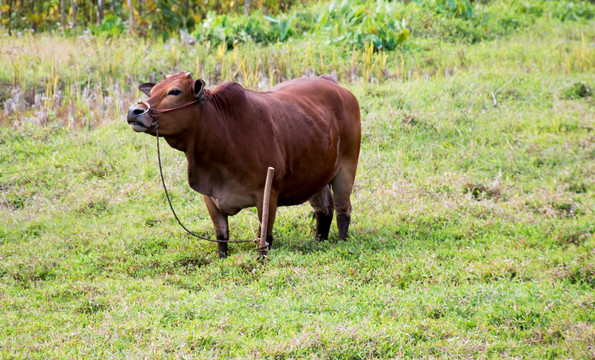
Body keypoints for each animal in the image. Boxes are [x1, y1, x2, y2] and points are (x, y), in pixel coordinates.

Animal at [127, 72, 360, 258]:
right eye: (152, 91)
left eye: (174, 91)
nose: (134, 111)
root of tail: (334, 84)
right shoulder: (209, 195)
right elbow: (221, 234)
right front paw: (222, 257)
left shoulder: (268, 192)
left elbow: (264, 236)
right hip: (315, 176)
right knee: (324, 209)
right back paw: (319, 241)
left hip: (347, 167)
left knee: (342, 209)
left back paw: (341, 242)